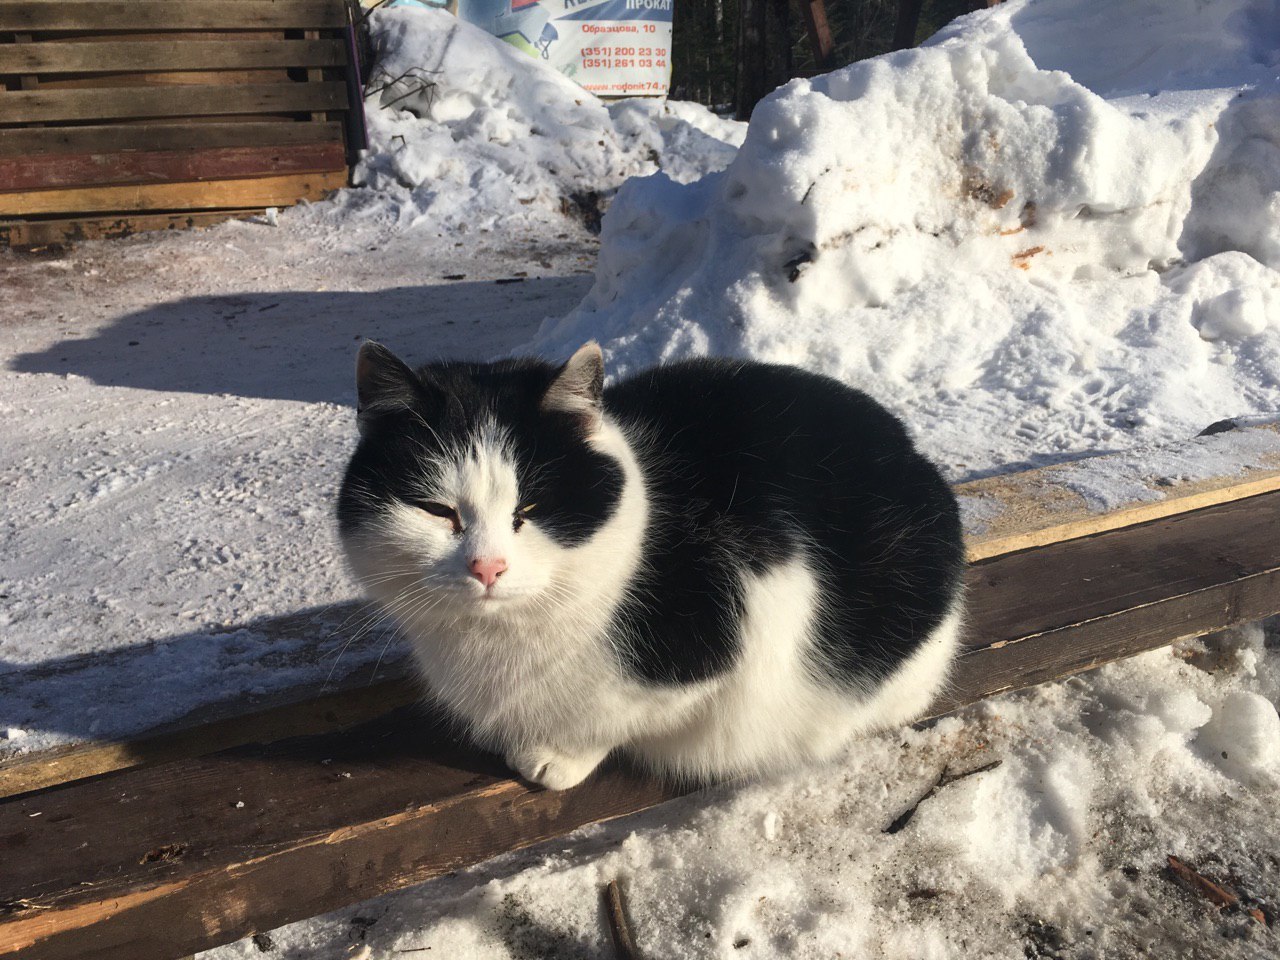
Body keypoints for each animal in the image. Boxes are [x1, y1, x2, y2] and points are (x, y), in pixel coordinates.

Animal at [335, 343, 962, 793]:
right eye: (436, 510)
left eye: (531, 508)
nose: (487, 568)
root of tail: (912, 451)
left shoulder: (728, 641)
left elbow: (615, 720)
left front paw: (555, 756)